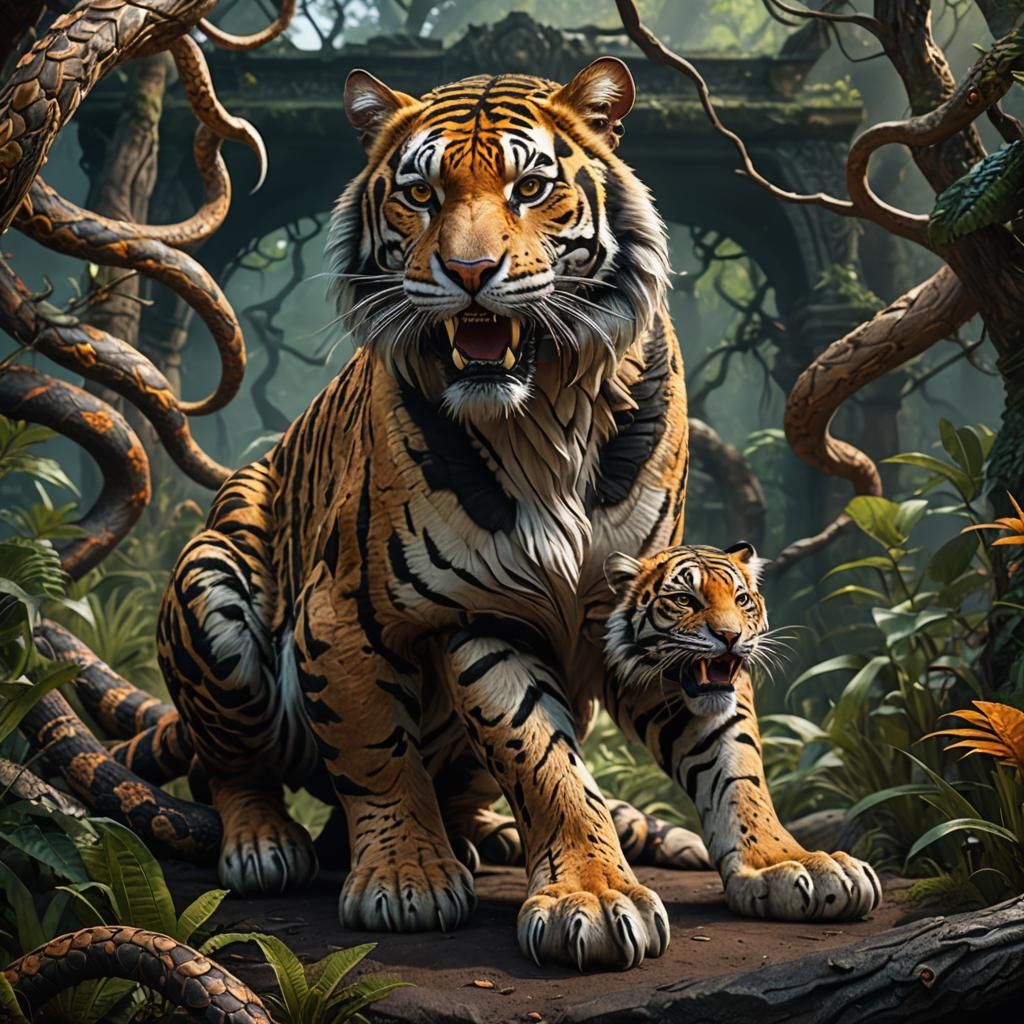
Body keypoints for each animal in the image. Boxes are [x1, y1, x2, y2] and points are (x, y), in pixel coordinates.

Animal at [144, 57, 879, 971]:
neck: (543, 418)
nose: (468, 274)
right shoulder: (435, 613)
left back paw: (477, 840)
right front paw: (447, 885)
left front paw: (790, 863)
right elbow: (463, 755)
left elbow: (732, 755)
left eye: (530, 187)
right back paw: (269, 846)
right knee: (230, 763)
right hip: (211, 579)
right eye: (420, 195)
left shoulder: (633, 622)